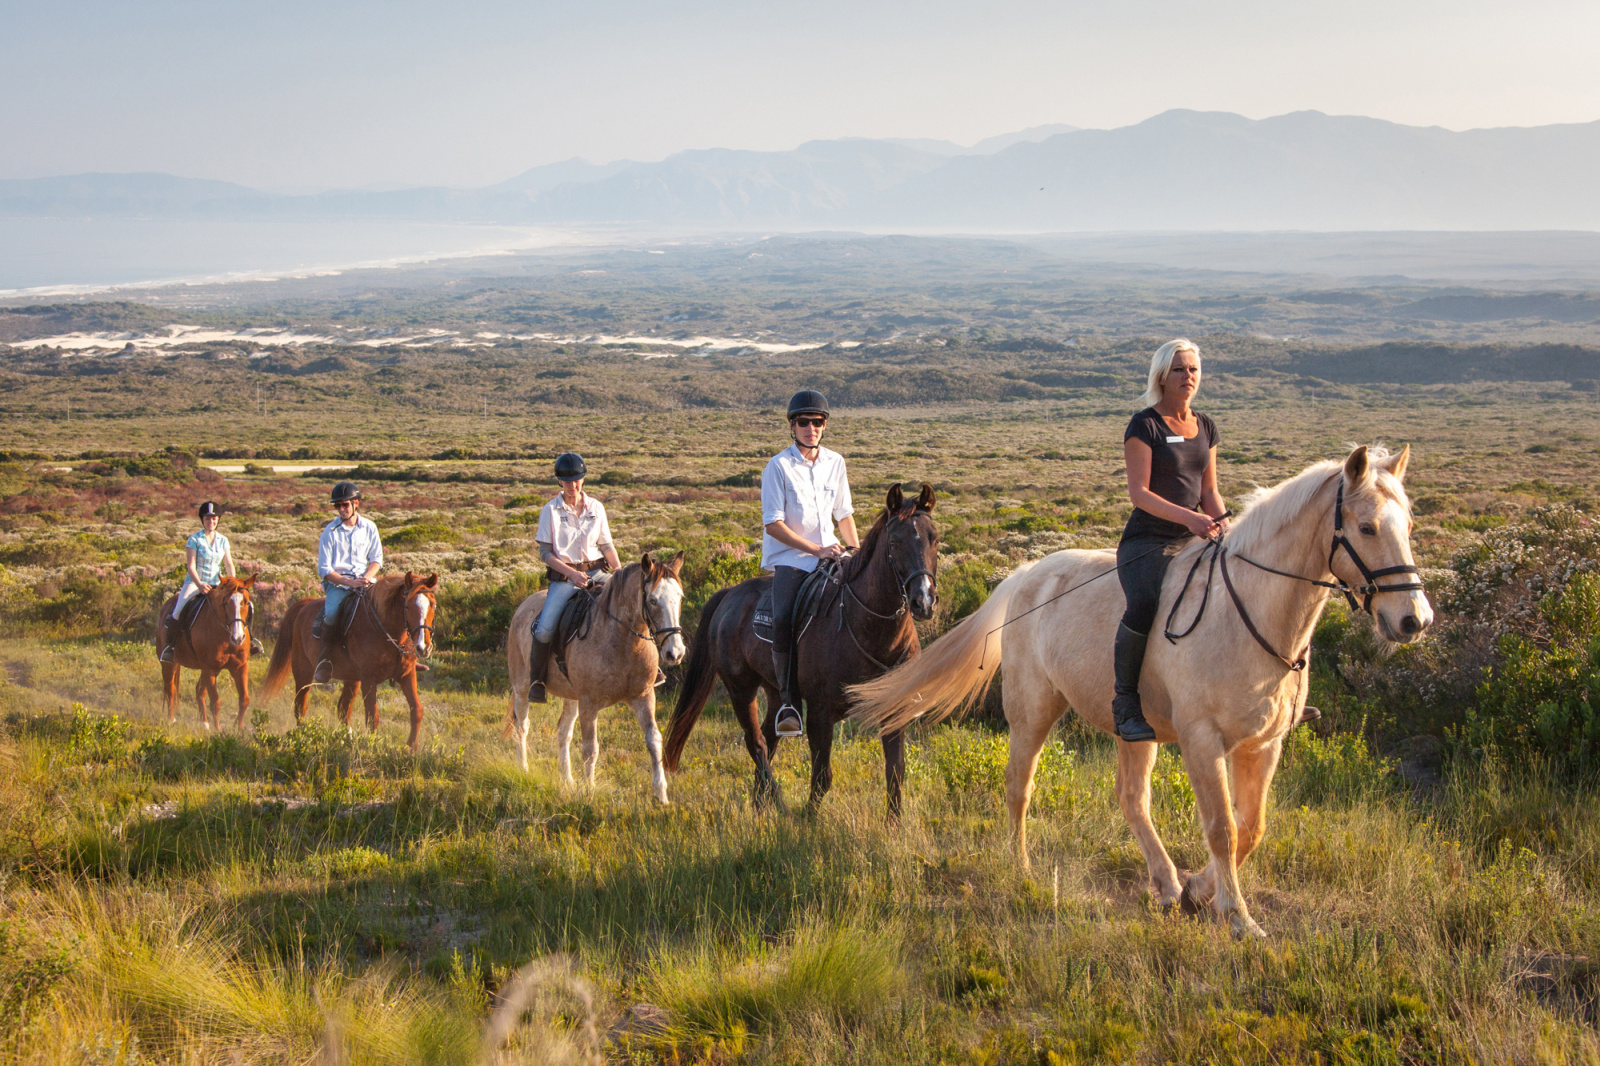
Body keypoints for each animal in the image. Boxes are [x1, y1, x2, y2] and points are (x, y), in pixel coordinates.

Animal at [157, 573, 257, 729]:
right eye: (226, 603)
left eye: (247, 603)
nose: (238, 638)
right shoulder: (210, 669)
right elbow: (215, 702)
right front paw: (219, 731)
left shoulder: (239, 667)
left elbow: (245, 699)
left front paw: (238, 728)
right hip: (169, 664)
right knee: (170, 689)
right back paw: (171, 719)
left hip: (203, 670)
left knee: (199, 691)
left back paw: (204, 723)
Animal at [260, 573, 438, 745]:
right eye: (407, 606)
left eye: (433, 605)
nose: (423, 647)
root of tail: (305, 604)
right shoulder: (368, 679)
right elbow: (372, 717)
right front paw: (372, 747)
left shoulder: (406, 674)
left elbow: (417, 710)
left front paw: (411, 748)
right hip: (303, 672)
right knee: (300, 706)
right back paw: (302, 735)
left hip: (351, 678)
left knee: (343, 708)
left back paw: (347, 739)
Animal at [505, 550, 688, 800]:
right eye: (652, 600)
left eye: (680, 597)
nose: (675, 652)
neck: (623, 642)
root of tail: (523, 607)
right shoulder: (589, 704)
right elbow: (590, 749)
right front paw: (589, 791)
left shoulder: (643, 697)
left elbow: (654, 740)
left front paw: (661, 794)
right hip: (523, 688)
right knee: (522, 726)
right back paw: (523, 768)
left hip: (571, 697)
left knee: (563, 732)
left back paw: (567, 781)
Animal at [662, 480, 934, 813]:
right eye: (894, 542)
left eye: (934, 539)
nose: (923, 600)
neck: (869, 628)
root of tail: (729, 594)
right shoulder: (820, 712)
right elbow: (822, 775)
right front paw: (808, 819)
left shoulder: (893, 708)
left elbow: (895, 773)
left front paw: (892, 824)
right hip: (741, 688)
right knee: (756, 742)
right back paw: (776, 800)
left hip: (776, 691)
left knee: (768, 738)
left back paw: (761, 806)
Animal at [857, 444, 1433, 934]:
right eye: (1365, 527)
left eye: (1408, 524)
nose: (1414, 620)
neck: (1250, 613)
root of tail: (1025, 573)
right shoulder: (1203, 741)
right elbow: (1222, 827)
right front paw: (1238, 917)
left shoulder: (1263, 745)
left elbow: (1252, 826)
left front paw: (1200, 889)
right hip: (1033, 711)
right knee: (1019, 788)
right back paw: (1023, 870)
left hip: (1134, 730)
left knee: (1132, 798)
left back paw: (1167, 884)